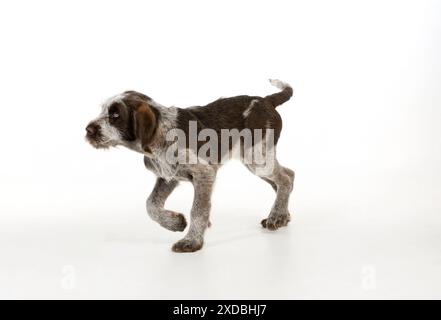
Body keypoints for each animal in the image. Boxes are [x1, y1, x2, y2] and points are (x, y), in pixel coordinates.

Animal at [84, 80, 294, 252]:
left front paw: (192, 241)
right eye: (103, 111)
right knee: (288, 176)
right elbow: (151, 205)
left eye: (115, 115)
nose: (88, 130)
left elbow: (198, 210)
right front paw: (175, 223)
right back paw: (283, 215)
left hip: (257, 160)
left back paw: (277, 216)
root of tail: (266, 100)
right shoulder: (168, 177)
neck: (162, 133)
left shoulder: (204, 173)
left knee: (284, 179)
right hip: (256, 160)